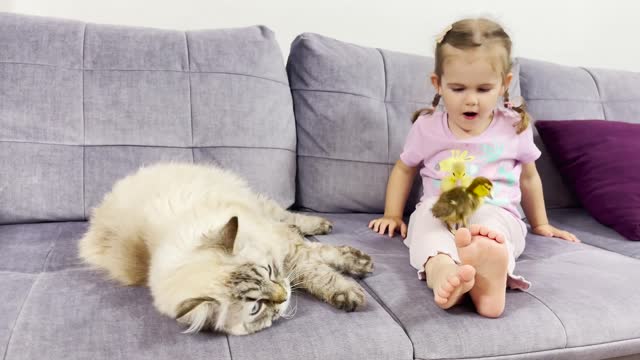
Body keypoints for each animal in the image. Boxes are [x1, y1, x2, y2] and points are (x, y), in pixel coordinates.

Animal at [77, 162, 372, 334]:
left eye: (269, 271)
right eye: (256, 307)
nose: (283, 296)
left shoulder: (286, 249)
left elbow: (321, 266)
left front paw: (356, 273)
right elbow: (316, 269)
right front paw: (348, 289)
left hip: (262, 207)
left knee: (291, 217)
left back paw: (321, 224)